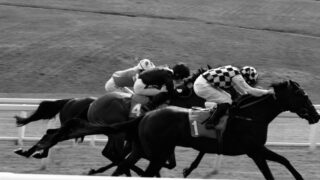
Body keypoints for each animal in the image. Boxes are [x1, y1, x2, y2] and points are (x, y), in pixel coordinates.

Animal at [106, 81, 318, 179]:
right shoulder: (255, 150)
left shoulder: (257, 150)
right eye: (302, 95)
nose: (317, 116)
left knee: (122, 165)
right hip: (156, 153)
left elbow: (283, 160)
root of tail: (147, 115)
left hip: (142, 149)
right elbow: (275, 168)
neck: (250, 116)